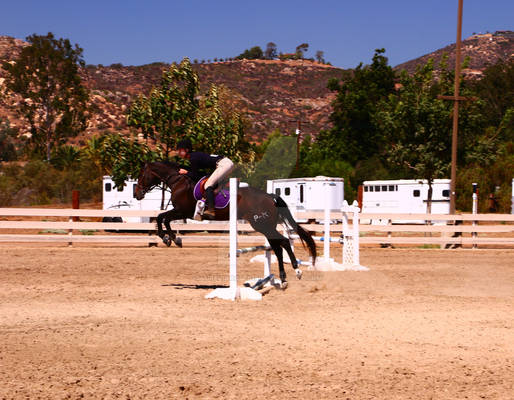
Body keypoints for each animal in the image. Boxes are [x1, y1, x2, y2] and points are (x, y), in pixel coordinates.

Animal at [133, 160, 316, 284]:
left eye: (141, 176)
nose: (137, 194)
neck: (178, 181)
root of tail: (270, 196)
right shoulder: (181, 212)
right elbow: (162, 217)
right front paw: (170, 238)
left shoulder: (182, 211)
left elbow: (162, 218)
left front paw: (170, 238)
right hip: (265, 226)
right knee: (278, 246)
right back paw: (285, 277)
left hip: (262, 225)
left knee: (282, 242)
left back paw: (296, 271)